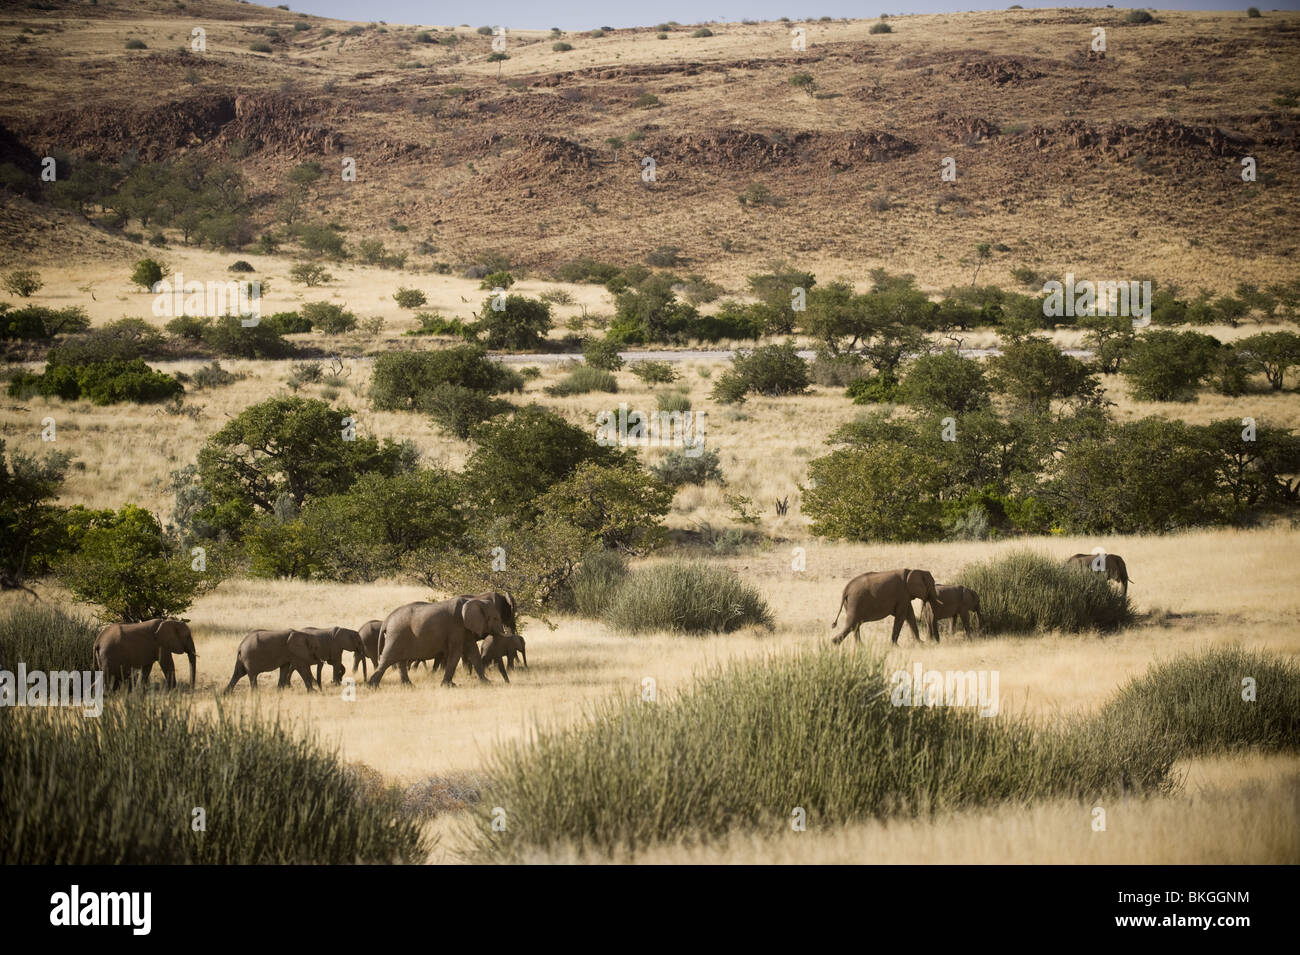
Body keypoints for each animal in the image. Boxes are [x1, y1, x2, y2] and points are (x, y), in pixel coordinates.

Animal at [369, 589, 514, 686]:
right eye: (495, 618)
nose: (507, 683)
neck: (474, 601)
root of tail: (387, 620)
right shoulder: (456, 627)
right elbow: (456, 653)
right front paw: (448, 685)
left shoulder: (465, 629)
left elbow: (473, 652)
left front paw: (487, 683)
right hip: (396, 635)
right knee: (387, 659)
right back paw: (372, 686)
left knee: (400, 661)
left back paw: (409, 686)